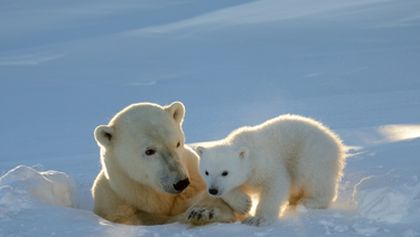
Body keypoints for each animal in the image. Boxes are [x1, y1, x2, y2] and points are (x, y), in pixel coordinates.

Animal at [195, 114, 346, 226]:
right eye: (206, 172)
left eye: (225, 172)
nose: (213, 190)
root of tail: (336, 142)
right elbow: (230, 190)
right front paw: (244, 204)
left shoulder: (264, 164)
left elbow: (275, 184)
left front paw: (257, 219)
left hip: (312, 153)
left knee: (314, 177)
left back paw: (308, 201)